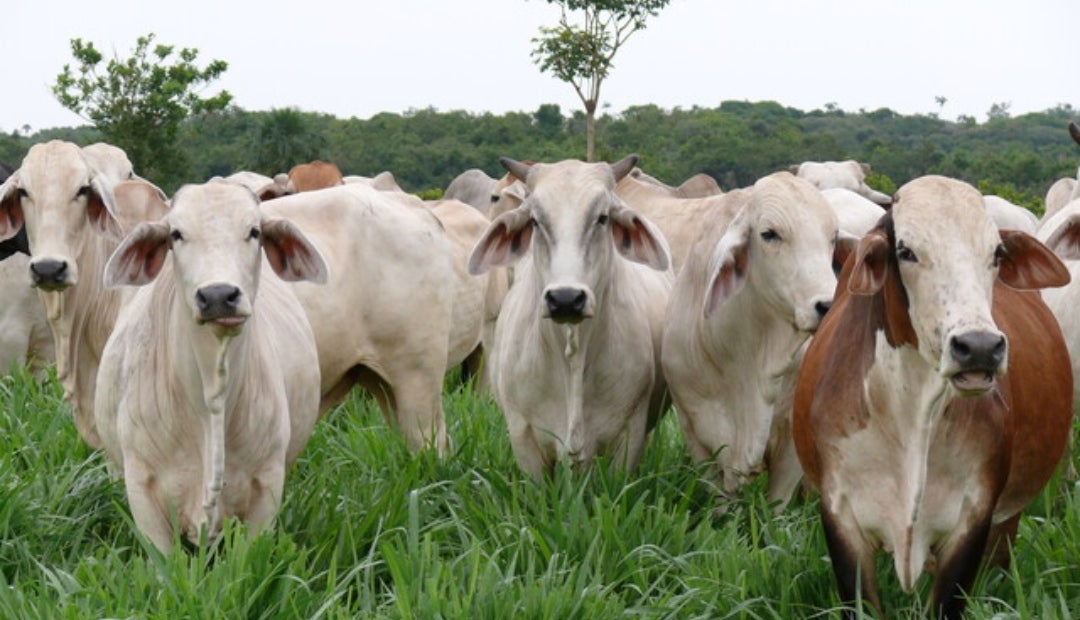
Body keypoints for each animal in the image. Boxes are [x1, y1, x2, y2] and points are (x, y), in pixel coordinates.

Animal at [656, 172, 851, 507]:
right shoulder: (693, 427)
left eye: (832, 236)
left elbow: (778, 503)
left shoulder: (791, 438)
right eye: (769, 234)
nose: (827, 305)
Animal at [794, 173, 1071, 617]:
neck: (911, 414)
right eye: (906, 251)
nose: (979, 347)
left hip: (1007, 517)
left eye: (996, 253)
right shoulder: (840, 518)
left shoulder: (973, 518)